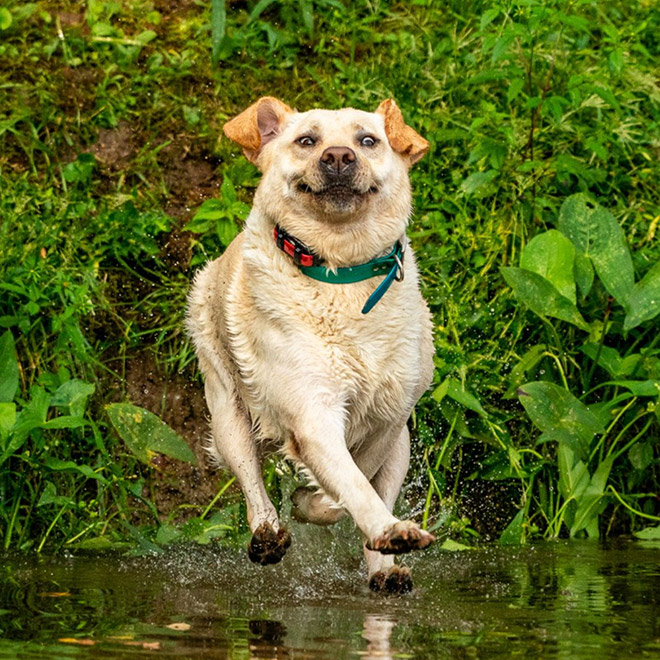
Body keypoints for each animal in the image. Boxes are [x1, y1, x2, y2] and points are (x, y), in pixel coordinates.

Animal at [186, 96, 436, 592]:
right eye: (306, 140)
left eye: (368, 140)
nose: (338, 156)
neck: (342, 273)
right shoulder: (311, 413)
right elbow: (348, 485)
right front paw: (323, 508)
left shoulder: (389, 420)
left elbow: (359, 483)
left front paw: (377, 533)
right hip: (227, 412)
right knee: (252, 482)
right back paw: (268, 534)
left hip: (402, 447)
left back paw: (386, 570)